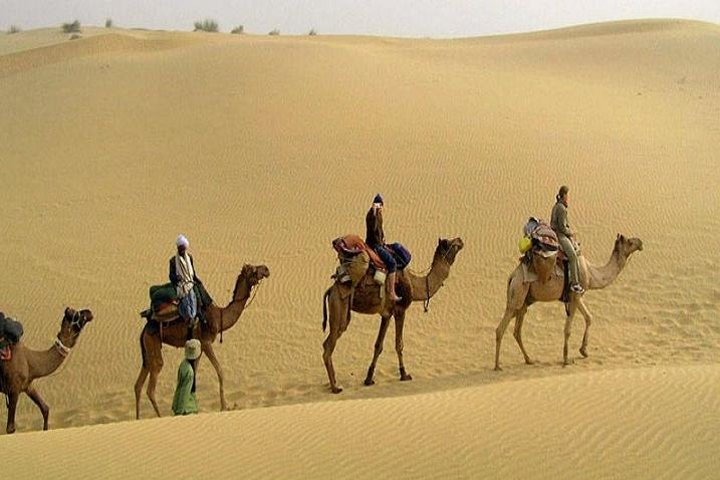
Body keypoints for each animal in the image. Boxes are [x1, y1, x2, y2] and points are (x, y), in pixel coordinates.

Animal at [0, 308, 94, 436]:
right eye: (78, 315)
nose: (89, 312)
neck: (30, 361)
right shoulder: (13, 389)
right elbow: (10, 428)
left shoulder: (28, 386)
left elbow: (45, 409)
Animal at [135, 264, 270, 418]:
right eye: (253, 269)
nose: (266, 269)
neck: (219, 316)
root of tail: (145, 329)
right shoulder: (206, 342)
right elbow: (220, 371)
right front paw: (224, 407)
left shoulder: (198, 346)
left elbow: (195, 372)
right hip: (153, 342)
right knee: (151, 386)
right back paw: (160, 417)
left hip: (148, 349)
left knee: (138, 384)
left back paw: (138, 418)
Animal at [322, 237, 466, 394]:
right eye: (448, 244)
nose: (460, 240)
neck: (415, 285)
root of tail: (330, 290)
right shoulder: (400, 310)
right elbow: (399, 344)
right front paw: (404, 374)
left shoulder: (387, 314)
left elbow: (378, 345)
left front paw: (369, 378)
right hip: (339, 307)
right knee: (328, 345)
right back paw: (335, 387)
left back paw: (335, 383)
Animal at [496, 234, 640, 370]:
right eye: (629, 242)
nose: (640, 242)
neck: (591, 274)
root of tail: (512, 276)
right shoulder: (575, 295)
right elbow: (568, 329)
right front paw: (566, 359)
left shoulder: (577, 295)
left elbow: (589, 317)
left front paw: (583, 351)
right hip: (517, 294)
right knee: (501, 328)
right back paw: (497, 366)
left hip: (524, 301)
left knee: (517, 331)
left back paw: (529, 360)